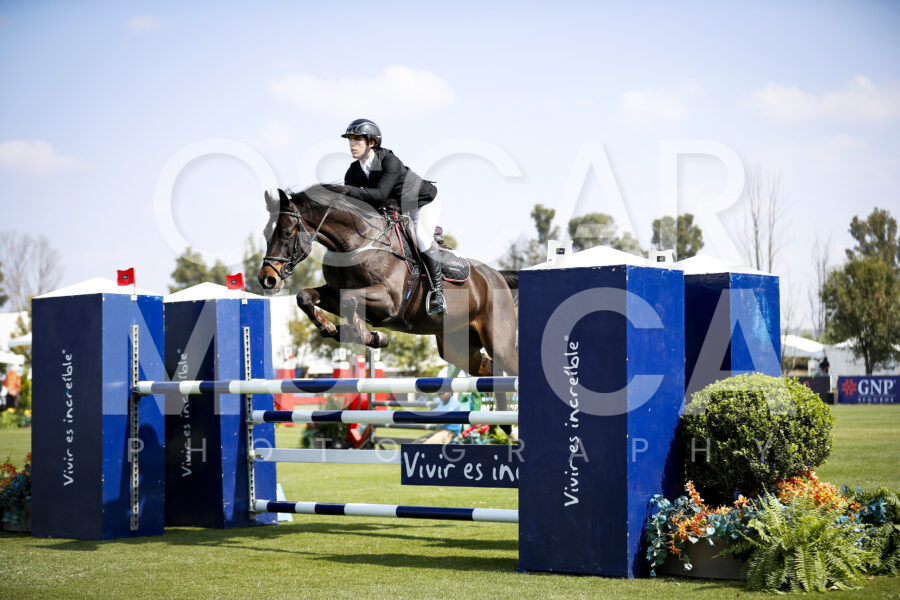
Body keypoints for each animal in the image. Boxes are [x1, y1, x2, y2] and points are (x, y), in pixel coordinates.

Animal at [257, 185, 519, 380]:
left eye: (287, 232)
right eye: (265, 233)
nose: (267, 279)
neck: (357, 242)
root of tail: (496, 275)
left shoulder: (388, 301)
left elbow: (350, 301)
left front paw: (370, 336)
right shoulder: (333, 293)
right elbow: (305, 297)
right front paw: (330, 328)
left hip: (498, 343)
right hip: (458, 346)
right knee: (489, 369)